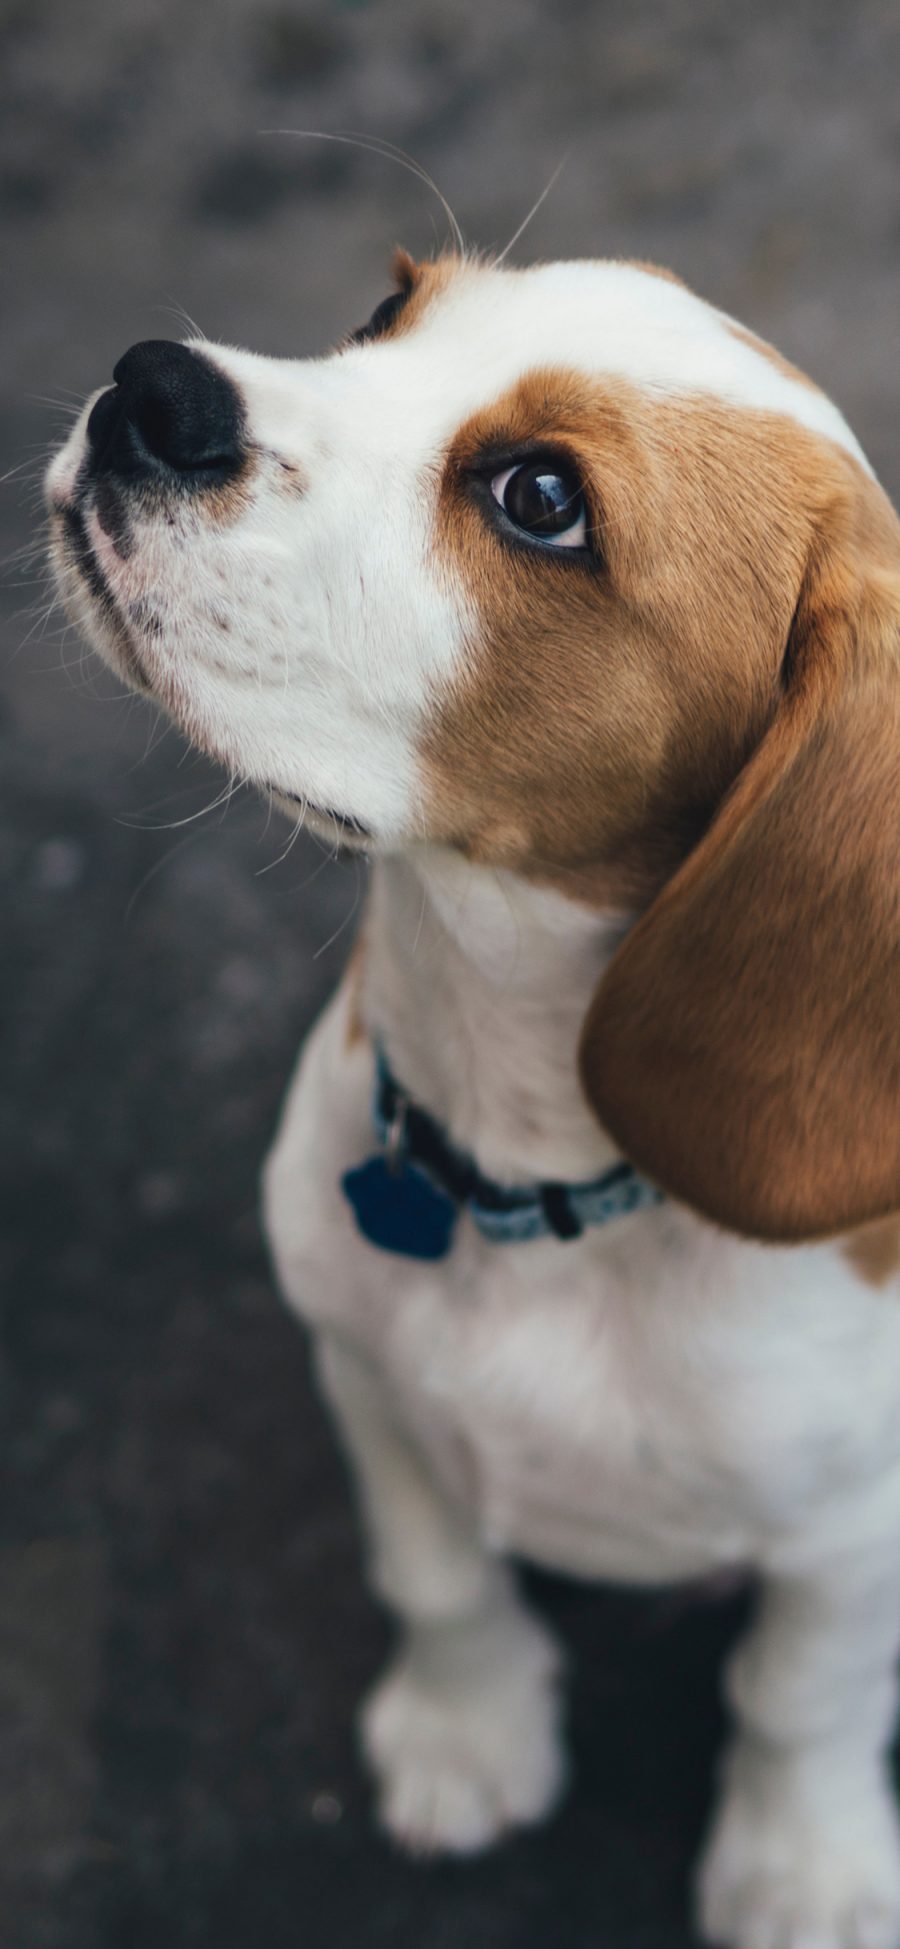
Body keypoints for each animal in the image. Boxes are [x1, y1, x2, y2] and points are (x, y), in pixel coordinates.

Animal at [47, 259, 900, 1949]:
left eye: (542, 499)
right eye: (385, 313)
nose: (155, 388)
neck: (528, 1177)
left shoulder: (855, 1532)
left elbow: (802, 1698)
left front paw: (803, 1867)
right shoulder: (362, 1368)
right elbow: (439, 1581)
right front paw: (467, 1730)